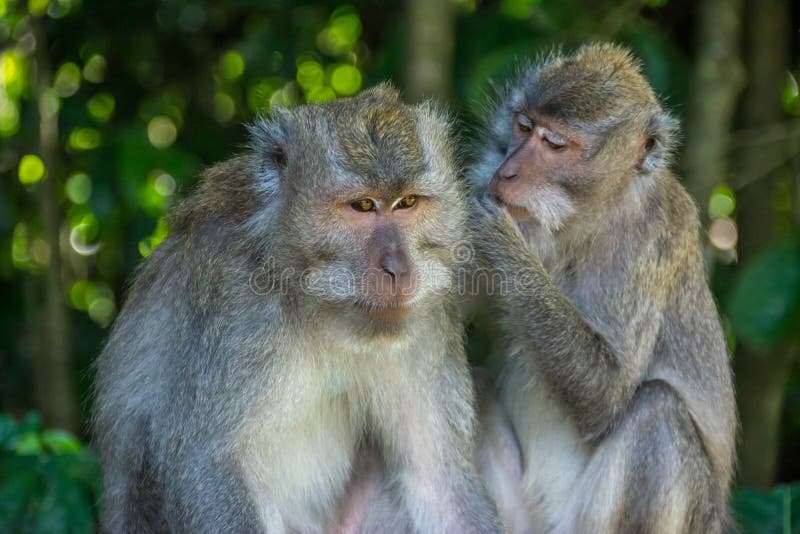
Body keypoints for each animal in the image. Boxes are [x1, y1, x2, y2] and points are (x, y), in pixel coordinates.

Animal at [92, 86, 500, 532]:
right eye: (362, 206)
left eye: (407, 202)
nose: (397, 268)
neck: (319, 308)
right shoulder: (234, 308)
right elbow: (209, 463)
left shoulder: (426, 321)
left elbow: (440, 484)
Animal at [466, 44, 740, 532]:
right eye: (523, 126)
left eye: (554, 144)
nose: (506, 171)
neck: (579, 223)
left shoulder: (654, 236)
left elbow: (606, 395)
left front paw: (497, 238)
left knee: (657, 412)